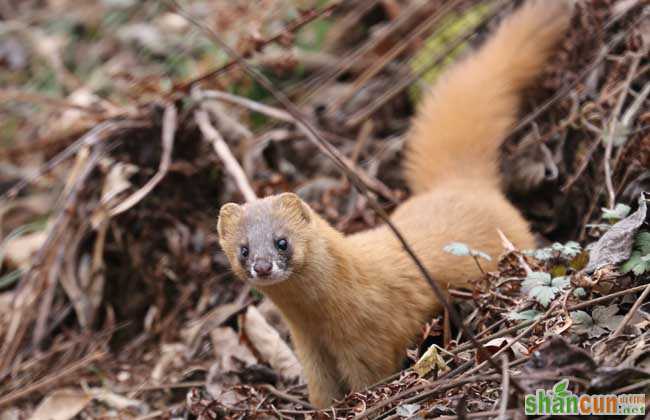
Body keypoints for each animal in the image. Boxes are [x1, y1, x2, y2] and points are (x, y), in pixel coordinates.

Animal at [216, 0, 568, 406]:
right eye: (243, 249)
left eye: (281, 241)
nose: (261, 266)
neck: (320, 322)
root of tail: (460, 182)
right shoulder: (311, 352)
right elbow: (322, 392)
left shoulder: (369, 343)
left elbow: (370, 380)